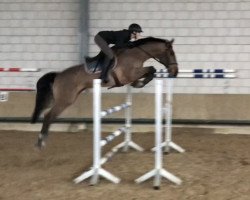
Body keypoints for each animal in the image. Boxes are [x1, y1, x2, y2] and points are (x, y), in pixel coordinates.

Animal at [31, 36, 179, 148]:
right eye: (171, 53)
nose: (175, 72)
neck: (135, 55)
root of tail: (58, 76)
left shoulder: (132, 76)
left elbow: (148, 72)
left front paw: (139, 84)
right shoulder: (130, 74)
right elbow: (151, 69)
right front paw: (141, 83)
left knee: (49, 115)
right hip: (65, 100)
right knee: (48, 115)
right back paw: (41, 141)